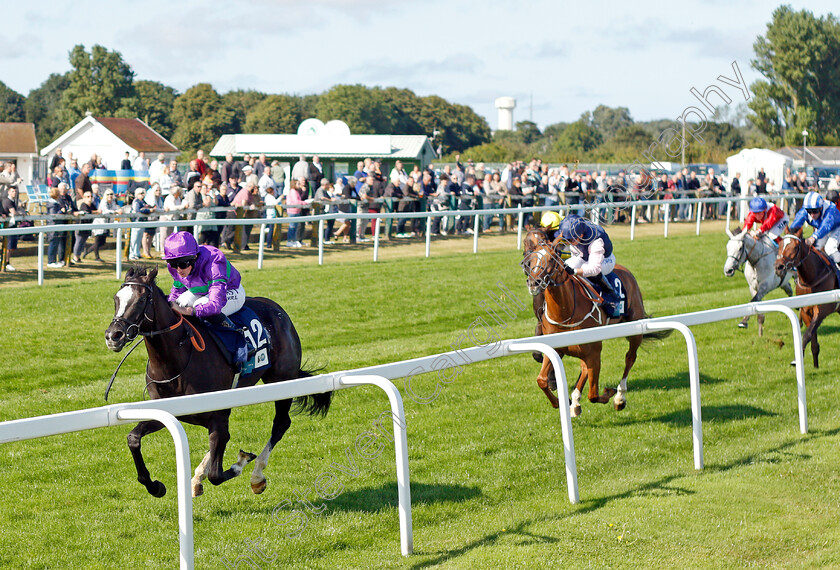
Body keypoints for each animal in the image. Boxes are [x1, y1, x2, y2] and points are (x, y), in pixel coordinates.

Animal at [103, 266, 330, 496]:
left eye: (141, 300)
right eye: (115, 299)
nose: (113, 335)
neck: (177, 360)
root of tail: (278, 311)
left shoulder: (217, 416)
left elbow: (217, 474)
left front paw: (241, 462)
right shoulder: (170, 410)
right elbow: (133, 439)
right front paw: (155, 486)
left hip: (281, 380)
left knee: (281, 424)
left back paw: (256, 475)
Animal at [520, 237, 668, 414]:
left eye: (551, 259)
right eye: (531, 260)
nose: (533, 283)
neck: (566, 312)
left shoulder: (594, 352)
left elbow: (593, 395)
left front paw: (609, 393)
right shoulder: (556, 348)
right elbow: (541, 380)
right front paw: (561, 402)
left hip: (634, 330)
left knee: (630, 358)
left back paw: (619, 397)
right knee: (585, 368)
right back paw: (576, 401)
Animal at [776, 233, 840, 366]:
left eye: (795, 247)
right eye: (779, 245)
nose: (779, 267)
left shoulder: (822, 310)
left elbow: (807, 335)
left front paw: (796, 360)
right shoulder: (806, 311)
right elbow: (813, 341)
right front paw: (815, 366)